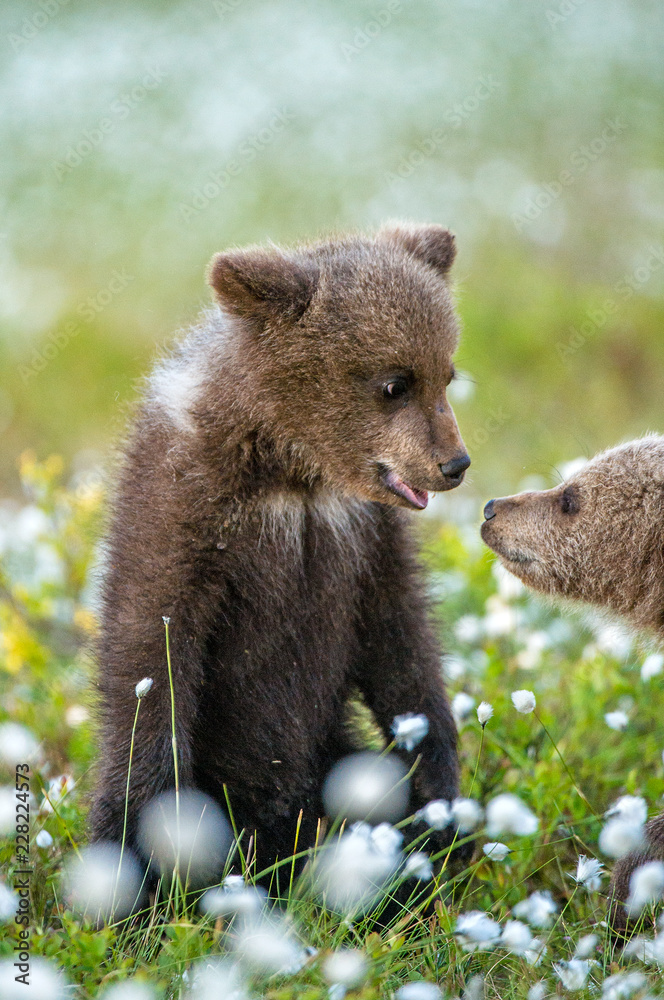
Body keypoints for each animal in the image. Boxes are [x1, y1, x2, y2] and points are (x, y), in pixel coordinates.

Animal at [89, 223, 472, 890]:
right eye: (395, 383)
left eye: (445, 374)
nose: (454, 463)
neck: (293, 475)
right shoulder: (188, 515)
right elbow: (152, 655)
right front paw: (147, 867)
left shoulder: (365, 535)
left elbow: (401, 642)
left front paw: (440, 807)